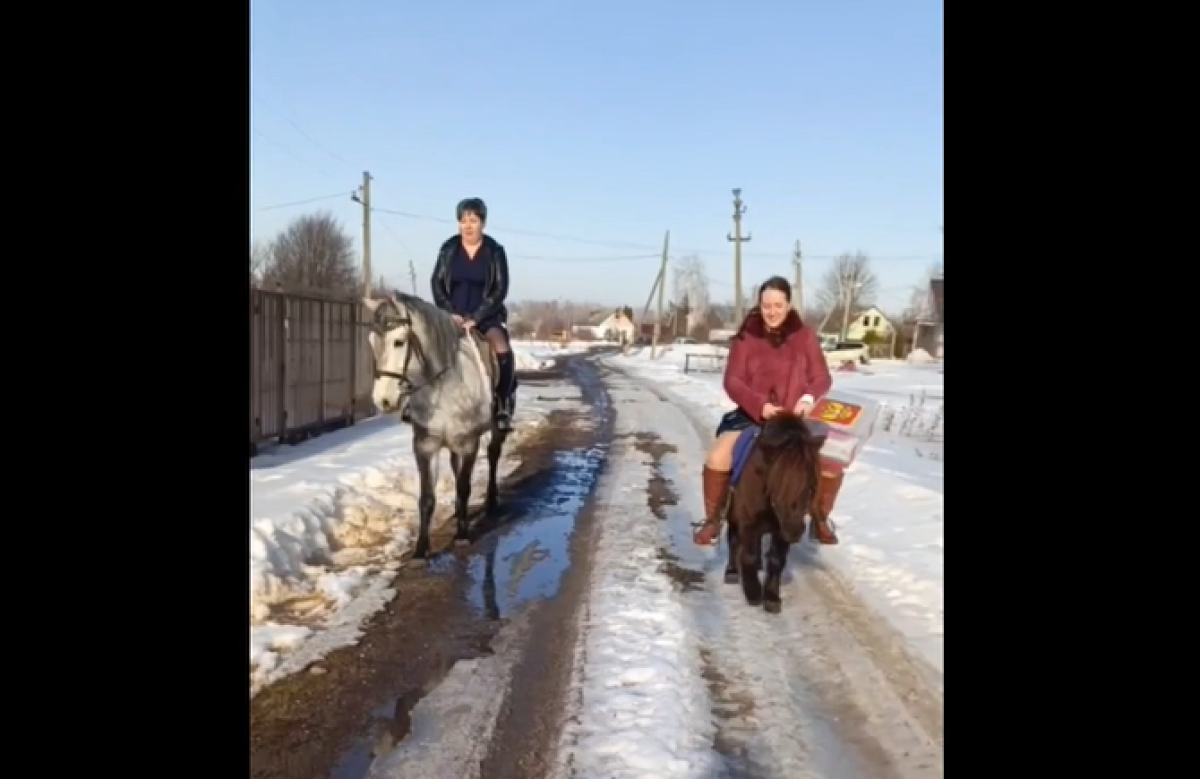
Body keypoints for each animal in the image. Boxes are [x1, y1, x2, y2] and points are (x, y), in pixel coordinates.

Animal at [360, 291, 511, 559]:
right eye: (371, 341)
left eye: (399, 342)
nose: (383, 400)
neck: (445, 386)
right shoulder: (425, 445)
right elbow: (427, 498)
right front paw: (421, 547)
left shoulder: (469, 444)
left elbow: (464, 488)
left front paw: (462, 536)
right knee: (455, 465)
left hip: (493, 430)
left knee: (493, 455)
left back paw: (491, 501)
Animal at [720, 412, 825, 614]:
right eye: (777, 480)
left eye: (811, 481)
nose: (794, 530)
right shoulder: (748, 521)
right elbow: (748, 555)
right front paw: (753, 592)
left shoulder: (780, 529)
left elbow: (776, 561)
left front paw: (771, 598)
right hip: (734, 513)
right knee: (734, 538)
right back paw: (732, 571)